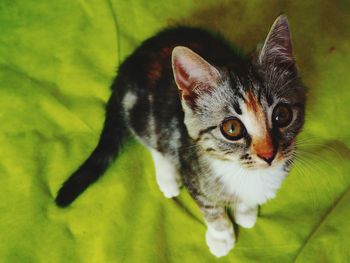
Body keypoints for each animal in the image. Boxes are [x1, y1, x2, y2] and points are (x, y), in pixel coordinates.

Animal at [55, 14, 306, 258]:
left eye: (282, 115)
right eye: (232, 128)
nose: (268, 155)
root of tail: (126, 65)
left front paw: (246, 210)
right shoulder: (192, 174)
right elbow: (211, 210)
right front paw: (221, 237)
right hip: (141, 115)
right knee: (152, 142)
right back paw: (167, 176)